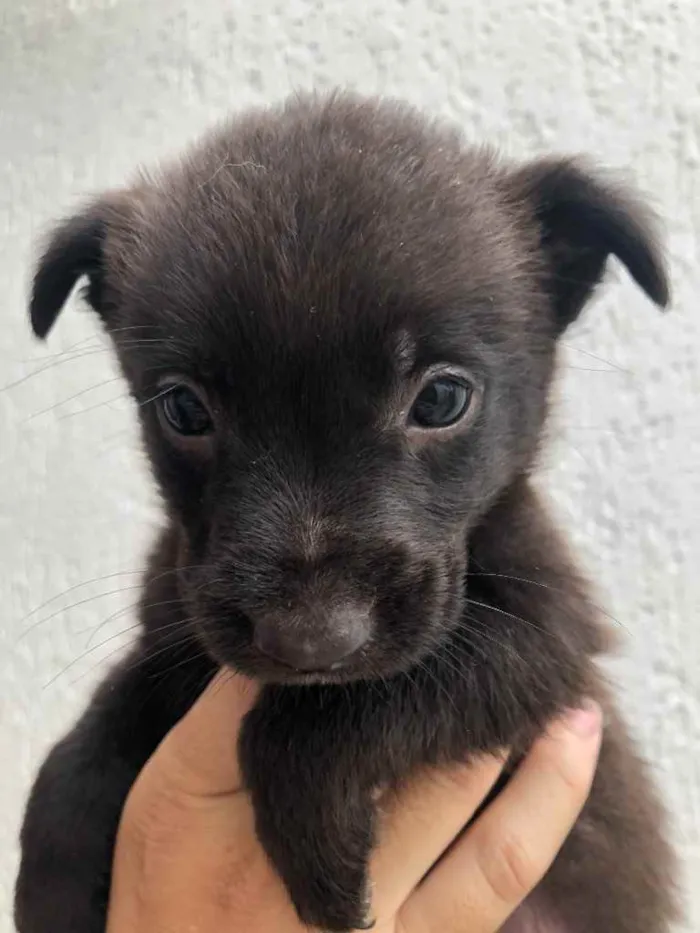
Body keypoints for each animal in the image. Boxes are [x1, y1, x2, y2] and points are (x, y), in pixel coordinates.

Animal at [13, 89, 680, 932]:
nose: (310, 638)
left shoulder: (552, 637)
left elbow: (349, 704)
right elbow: (95, 726)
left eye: (441, 397)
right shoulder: (171, 630)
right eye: (184, 408)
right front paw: (51, 876)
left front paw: (316, 834)